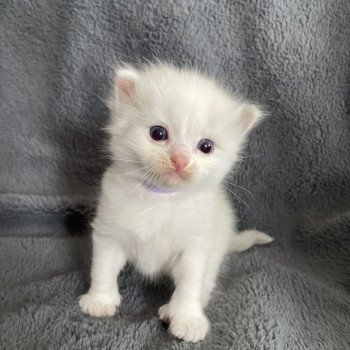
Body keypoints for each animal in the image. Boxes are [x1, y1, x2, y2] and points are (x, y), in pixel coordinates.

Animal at [78, 62, 274, 342]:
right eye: (158, 133)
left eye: (206, 146)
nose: (180, 159)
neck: (160, 197)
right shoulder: (109, 231)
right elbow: (103, 267)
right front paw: (100, 300)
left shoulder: (196, 246)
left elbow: (190, 284)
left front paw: (187, 319)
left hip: (216, 249)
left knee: (207, 281)